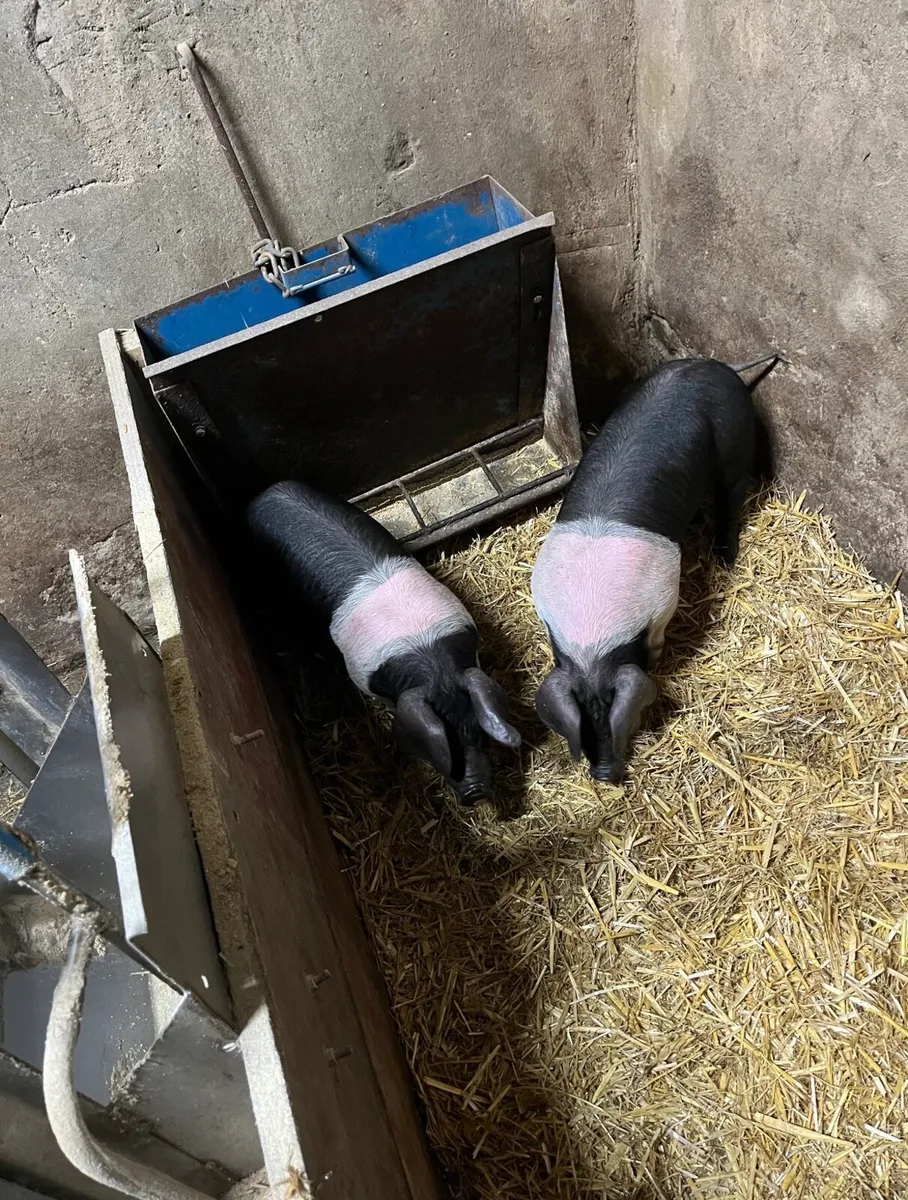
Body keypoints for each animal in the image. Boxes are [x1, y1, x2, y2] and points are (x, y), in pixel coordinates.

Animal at [246, 480, 521, 803]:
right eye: (443, 751)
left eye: (477, 734)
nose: (476, 794)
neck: (427, 656)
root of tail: (264, 495)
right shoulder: (360, 674)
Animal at [531, 355, 778, 783]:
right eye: (582, 719)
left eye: (616, 712)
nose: (604, 774)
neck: (593, 643)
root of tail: (716, 365)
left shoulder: (664, 597)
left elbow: (660, 635)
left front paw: (660, 656)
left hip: (735, 441)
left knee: (731, 496)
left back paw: (725, 559)